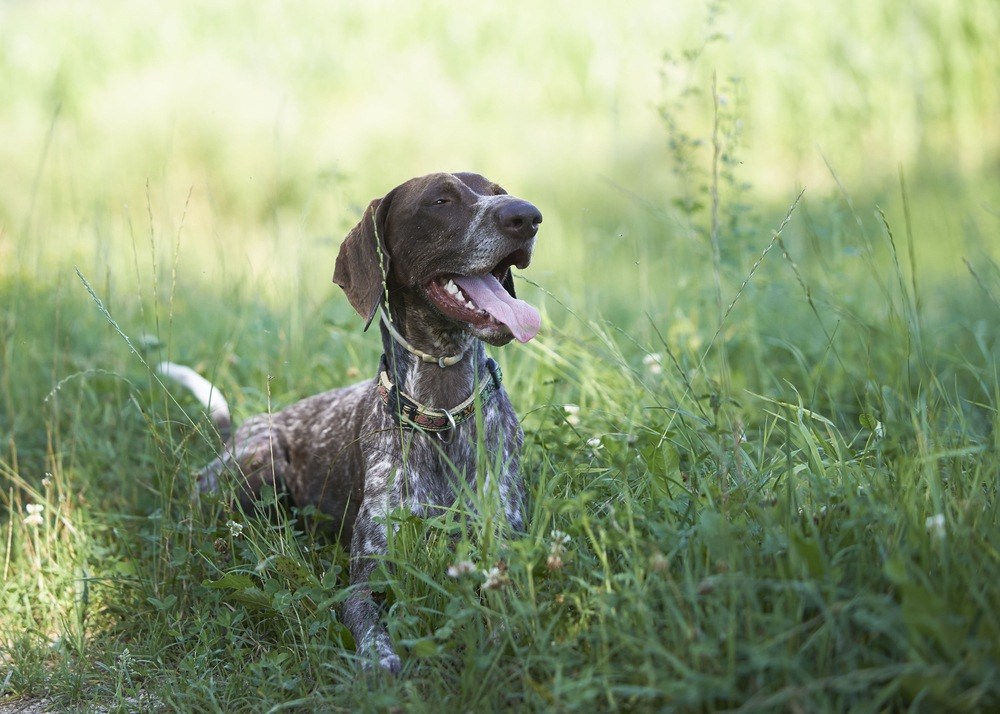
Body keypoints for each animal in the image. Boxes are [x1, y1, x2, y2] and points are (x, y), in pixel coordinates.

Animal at [160, 170, 544, 672]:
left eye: (499, 192)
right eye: (440, 200)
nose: (527, 216)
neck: (440, 412)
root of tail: (238, 431)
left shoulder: (502, 549)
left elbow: (507, 615)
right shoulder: (367, 580)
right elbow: (373, 634)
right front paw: (383, 665)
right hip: (260, 469)